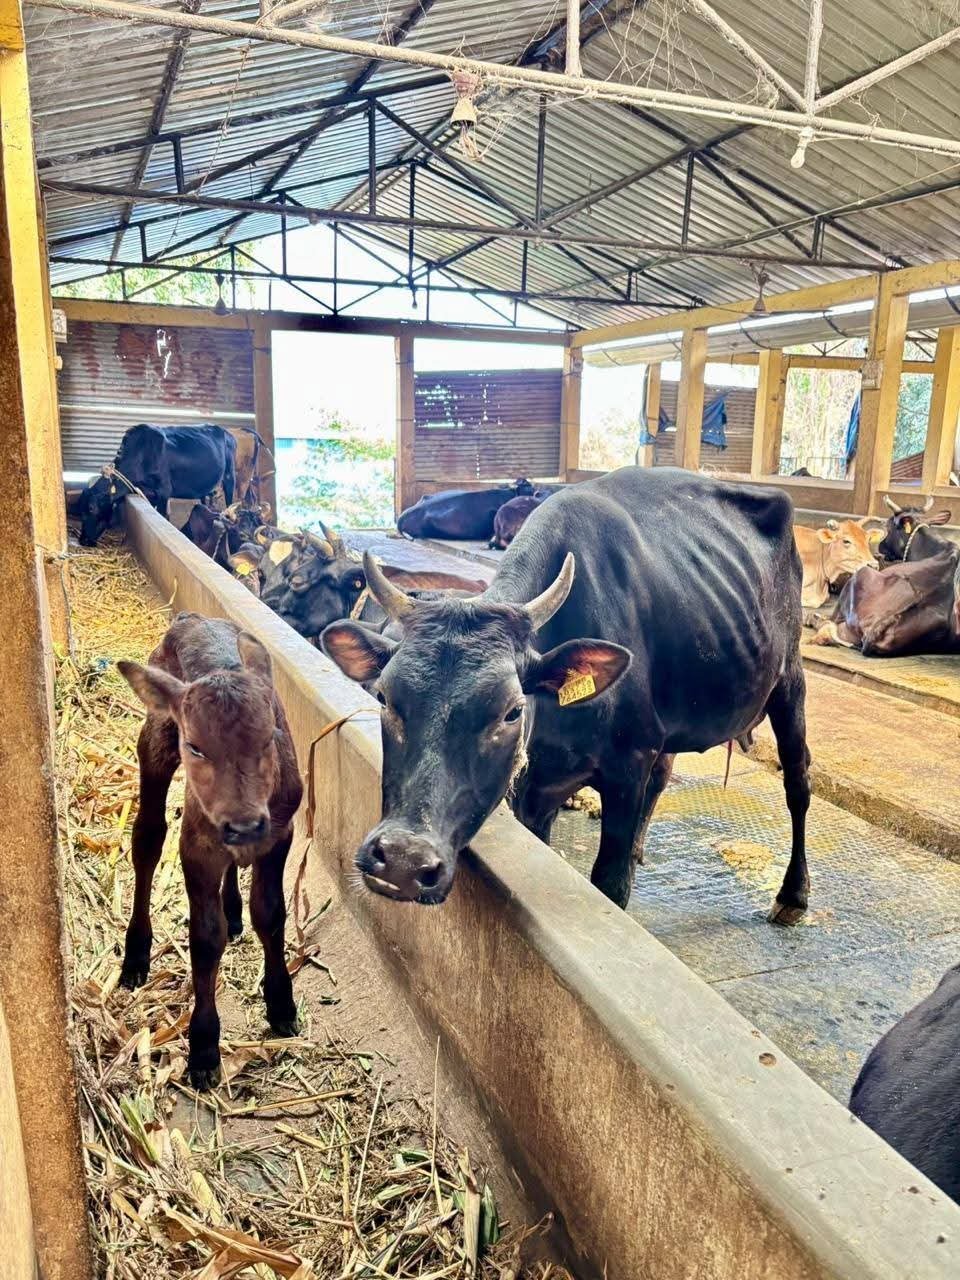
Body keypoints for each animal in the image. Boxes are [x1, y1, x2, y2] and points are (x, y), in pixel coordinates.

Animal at [76, 424, 237, 547]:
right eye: (80, 511)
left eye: (91, 508)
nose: (83, 541)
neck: (140, 455)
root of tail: (225, 431)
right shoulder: (148, 494)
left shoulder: (164, 492)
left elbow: (164, 517)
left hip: (230, 475)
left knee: (230, 499)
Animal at [117, 613, 302, 1089]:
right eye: (196, 746)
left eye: (269, 737)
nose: (243, 823)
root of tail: (192, 618)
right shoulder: (197, 847)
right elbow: (204, 938)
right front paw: (203, 1049)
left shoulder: (280, 833)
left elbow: (270, 914)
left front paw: (281, 1004)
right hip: (153, 741)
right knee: (147, 837)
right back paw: (136, 955)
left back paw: (233, 910)